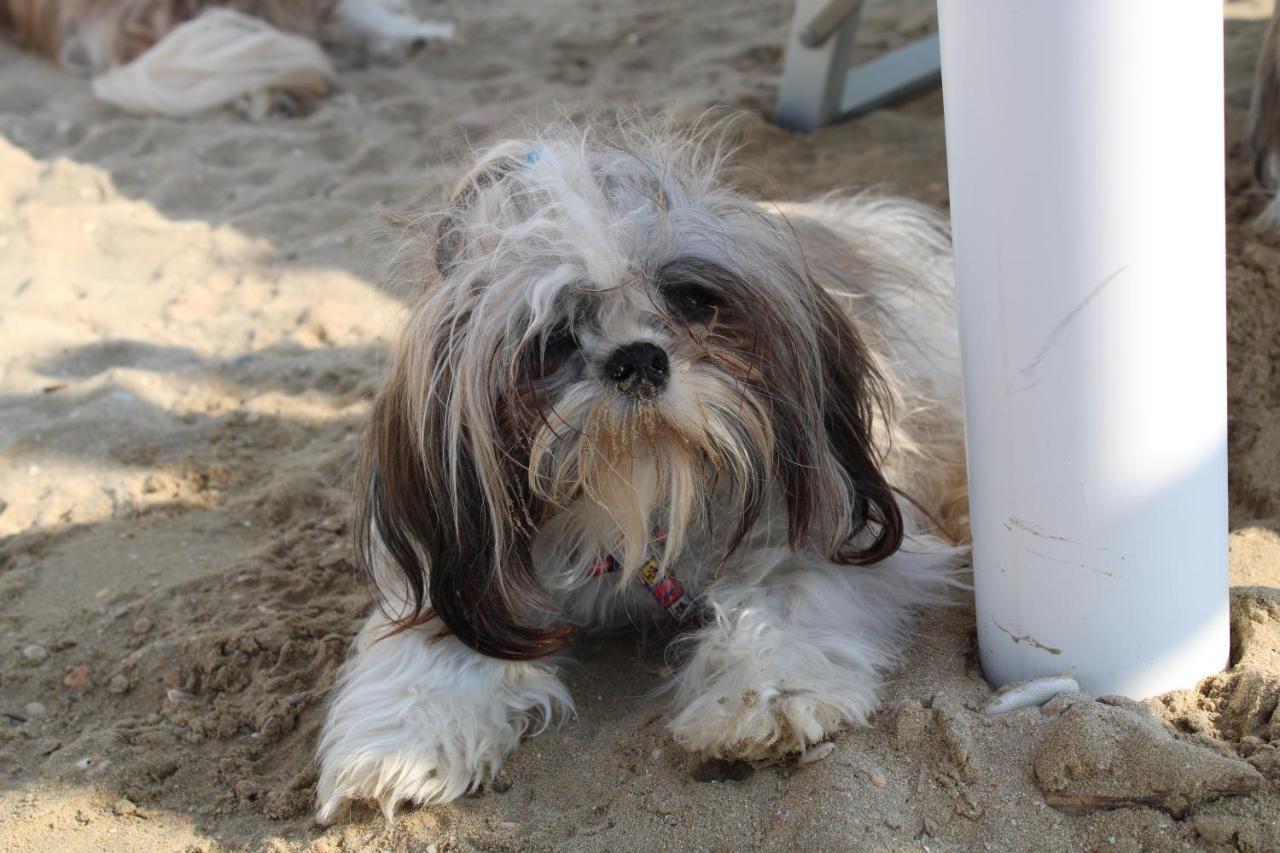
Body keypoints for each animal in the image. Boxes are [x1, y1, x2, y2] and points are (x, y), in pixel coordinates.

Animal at [317, 119, 967, 819]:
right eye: (552, 340)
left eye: (692, 300)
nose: (639, 359)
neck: (639, 505)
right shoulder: (466, 575)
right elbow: (432, 644)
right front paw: (404, 743)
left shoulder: (829, 520)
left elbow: (784, 595)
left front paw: (764, 696)